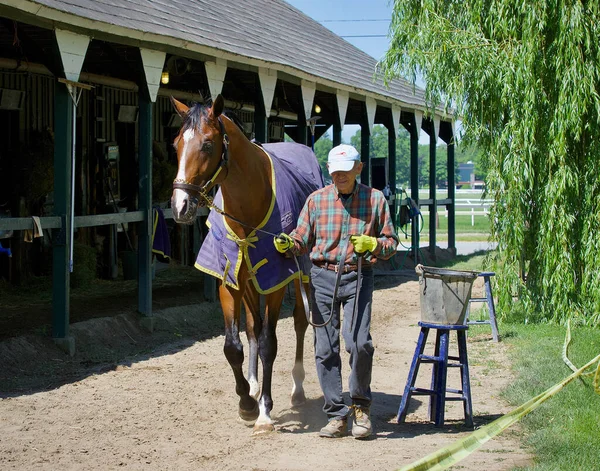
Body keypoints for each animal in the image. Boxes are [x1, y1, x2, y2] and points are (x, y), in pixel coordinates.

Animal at [169, 95, 324, 436]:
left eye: (208, 144)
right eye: (176, 144)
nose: (180, 206)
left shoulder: (276, 281)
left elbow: (269, 343)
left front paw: (264, 411)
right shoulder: (229, 281)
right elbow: (233, 346)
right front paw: (247, 403)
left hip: (296, 276)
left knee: (298, 323)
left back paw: (297, 388)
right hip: (252, 283)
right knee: (253, 327)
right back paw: (253, 384)